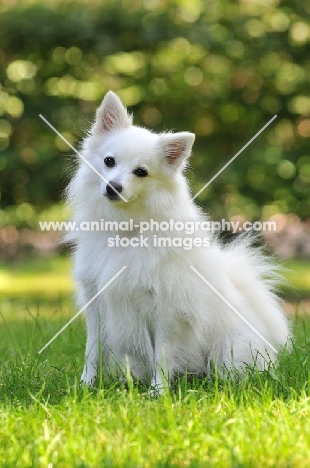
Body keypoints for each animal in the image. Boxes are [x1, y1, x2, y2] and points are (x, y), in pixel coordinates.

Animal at [66, 91, 290, 392]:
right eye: (109, 161)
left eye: (141, 172)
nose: (114, 187)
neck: (127, 229)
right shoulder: (97, 304)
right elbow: (92, 350)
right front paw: (86, 387)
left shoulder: (168, 309)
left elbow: (162, 352)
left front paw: (158, 392)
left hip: (227, 354)